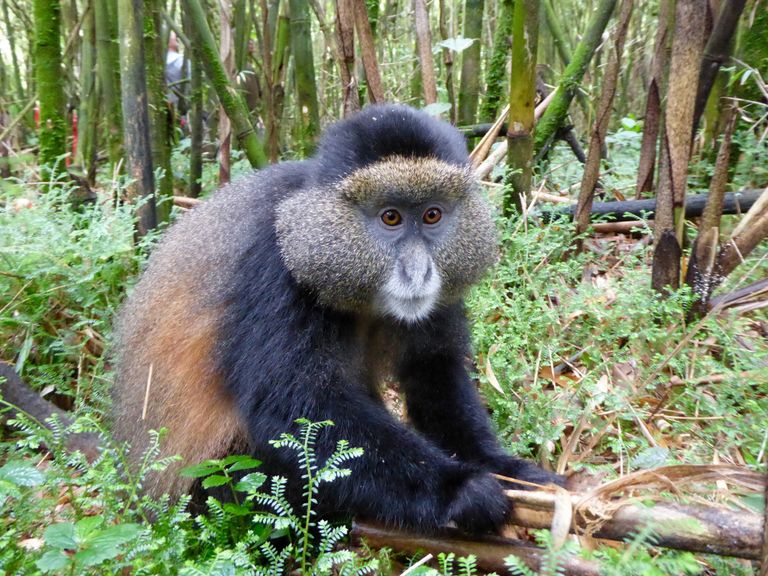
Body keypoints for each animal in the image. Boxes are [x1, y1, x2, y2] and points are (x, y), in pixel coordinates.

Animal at [3, 104, 563, 534]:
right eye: (389, 218)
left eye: (432, 215)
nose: (419, 270)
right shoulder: (273, 266)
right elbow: (295, 408)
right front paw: (462, 491)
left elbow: (433, 375)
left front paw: (510, 470)